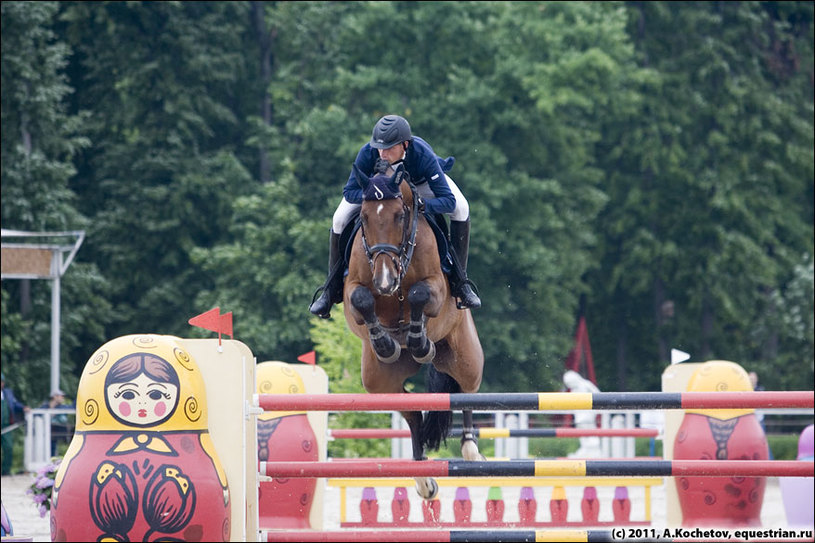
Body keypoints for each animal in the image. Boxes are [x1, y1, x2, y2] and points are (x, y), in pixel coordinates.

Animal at [342, 163, 484, 502]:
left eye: (399, 216)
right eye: (364, 217)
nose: (384, 280)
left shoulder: (435, 288)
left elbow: (420, 294)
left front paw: (420, 342)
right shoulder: (353, 289)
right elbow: (361, 299)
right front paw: (385, 343)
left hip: (465, 358)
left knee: (466, 391)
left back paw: (470, 449)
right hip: (380, 383)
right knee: (412, 412)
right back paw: (423, 479)